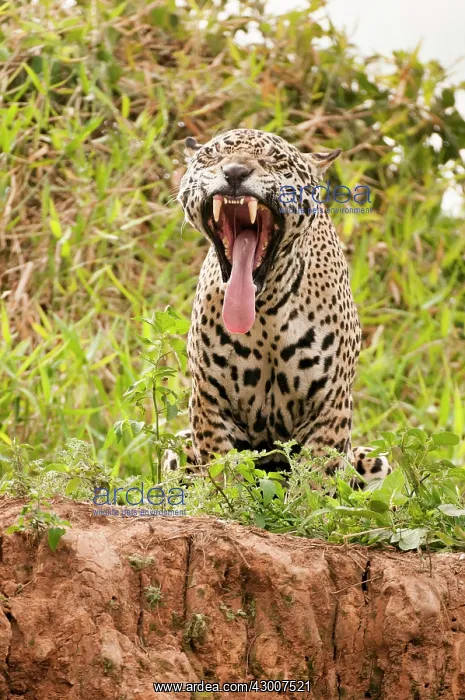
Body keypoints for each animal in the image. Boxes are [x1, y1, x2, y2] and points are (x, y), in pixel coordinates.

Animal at [166, 128, 391, 484]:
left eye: (276, 160)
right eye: (212, 156)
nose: (234, 172)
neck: (265, 309)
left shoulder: (331, 405)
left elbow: (315, 481)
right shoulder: (209, 402)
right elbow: (225, 475)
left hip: (377, 458)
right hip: (178, 445)